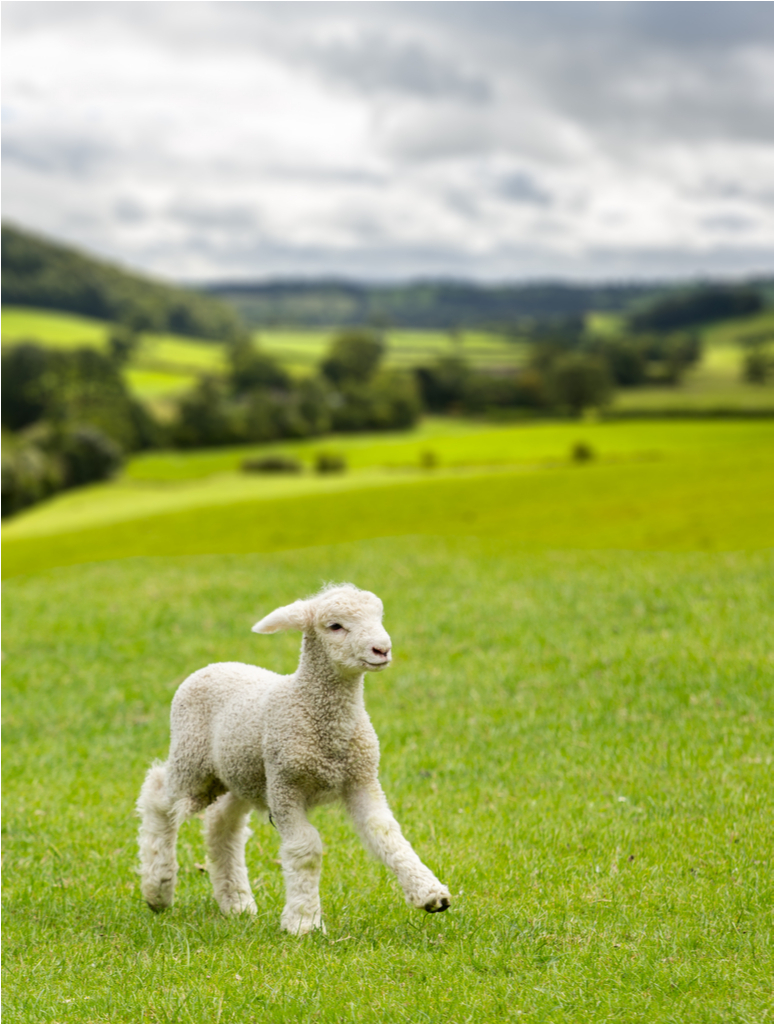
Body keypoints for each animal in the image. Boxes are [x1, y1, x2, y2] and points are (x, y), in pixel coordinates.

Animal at [136, 583, 451, 935]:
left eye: (378, 617)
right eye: (335, 626)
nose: (381, 649)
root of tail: (212, 666)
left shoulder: (361, 778)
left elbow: (386, 832)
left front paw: (429, 893)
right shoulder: (285, 786)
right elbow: (306, 849)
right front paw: (303, 920)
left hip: (243, 774)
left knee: (223, 824)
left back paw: (236, 901)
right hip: (193, 762)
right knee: (157, 797)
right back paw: (158, 888)